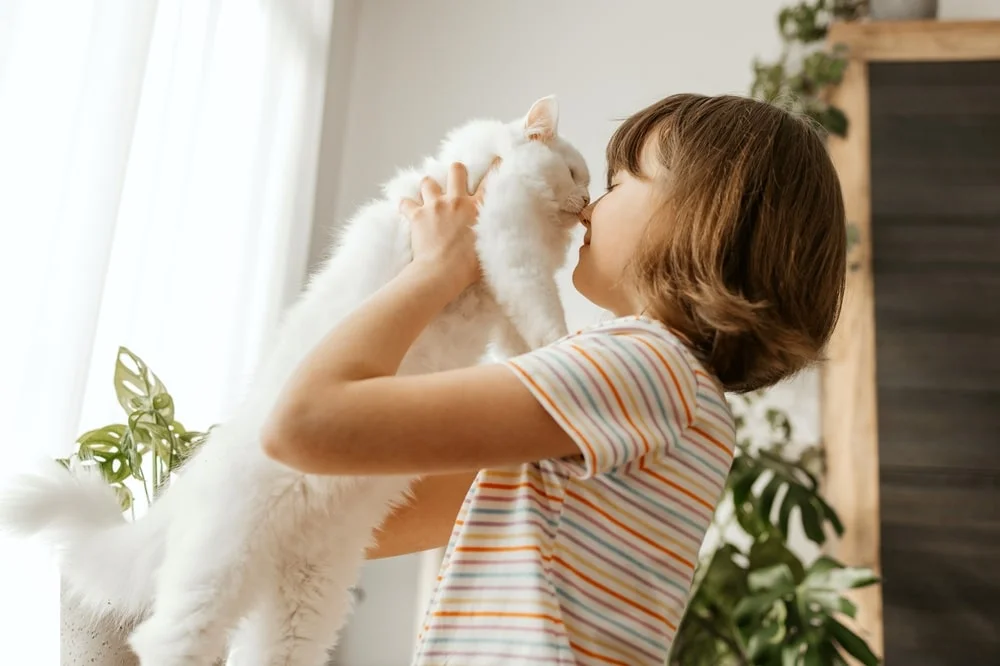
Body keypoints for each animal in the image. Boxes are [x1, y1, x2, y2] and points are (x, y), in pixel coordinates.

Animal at [0, 94, 588, 664]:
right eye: (576, 173)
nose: (587, 203)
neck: (485, 161)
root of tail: (183, 484)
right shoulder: (506, 236)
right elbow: (539, 306)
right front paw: (568, 339)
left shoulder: (499, 289)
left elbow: (519, 338)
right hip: (222, 569)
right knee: (164, 640)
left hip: (304, 597)